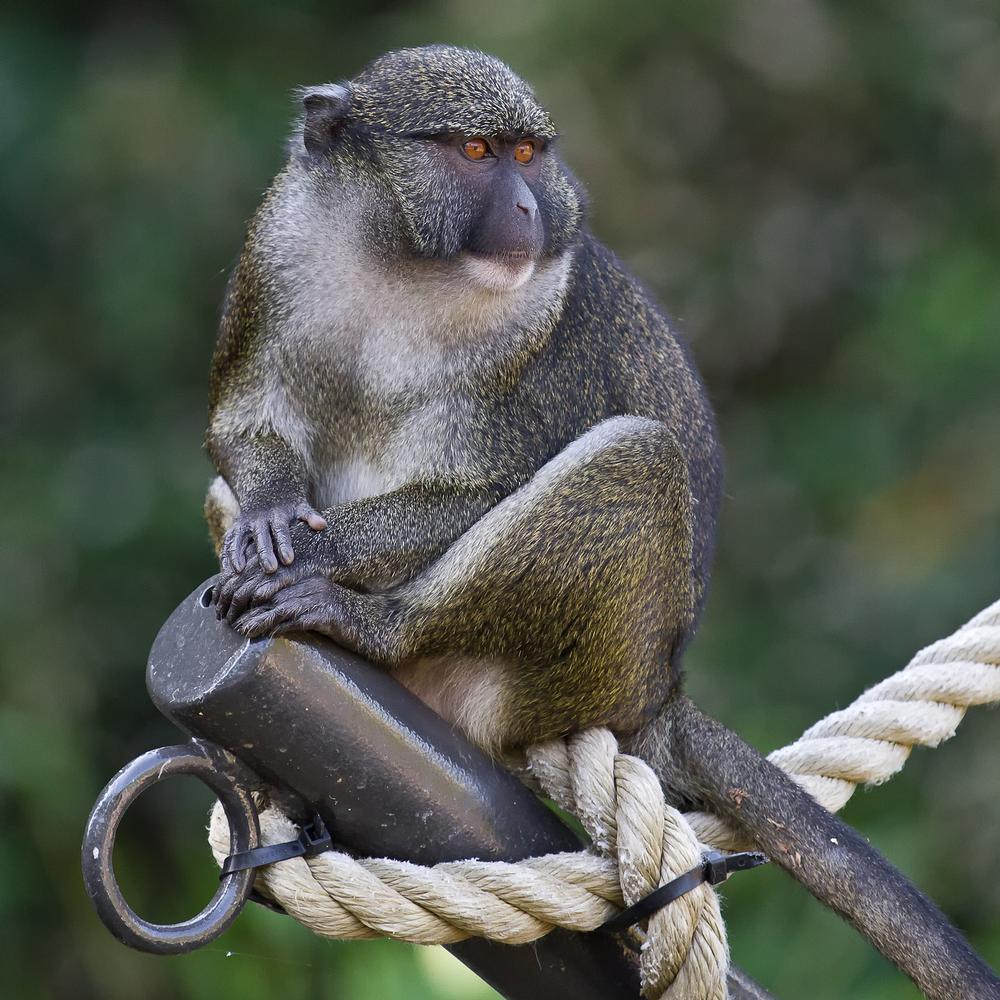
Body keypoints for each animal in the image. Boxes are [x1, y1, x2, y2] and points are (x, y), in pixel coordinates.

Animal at [204, 46, 999, 999]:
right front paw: (267, 517)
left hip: (581, 671)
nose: (526, 208)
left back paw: (374, 626)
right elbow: (241, 421)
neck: (399, 265)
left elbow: (480, 488)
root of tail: (657, 692)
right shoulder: (279, 244)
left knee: (636, 459)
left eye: (527, 153)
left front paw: (317, 568)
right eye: (475, 152)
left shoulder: (534, 328)